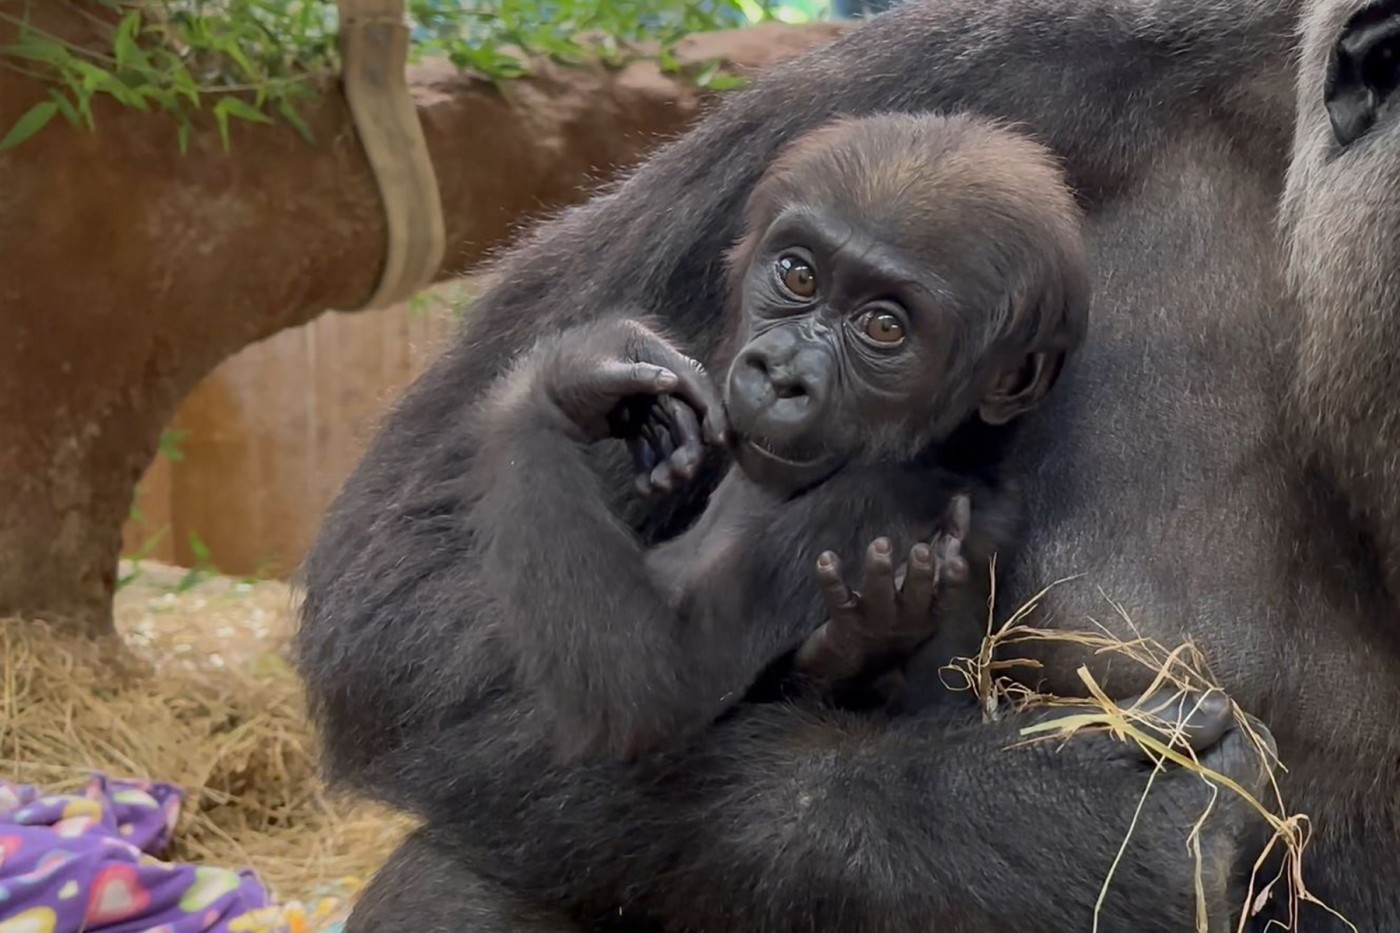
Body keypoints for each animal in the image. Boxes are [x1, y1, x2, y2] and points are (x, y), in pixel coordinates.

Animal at [476, 112, 1086, 762]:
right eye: (799, 275)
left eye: (884, 327)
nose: (782, 374)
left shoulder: (876, 509)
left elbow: (656, 675)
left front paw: (564, 379)